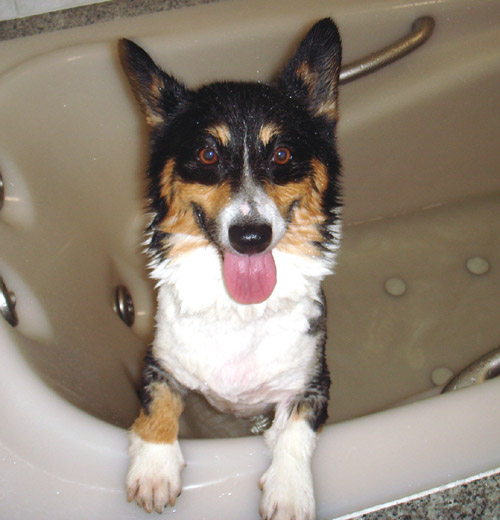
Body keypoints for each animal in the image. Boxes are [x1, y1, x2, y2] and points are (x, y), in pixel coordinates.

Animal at [119, 17, 342, 520]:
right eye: (207, 155)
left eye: (281, 155)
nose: (251, 236)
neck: (240, 309)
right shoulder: (158, 361)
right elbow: (158, 404)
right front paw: (154, 471)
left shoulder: (313, 383)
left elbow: (295, 429)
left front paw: (289, 491)